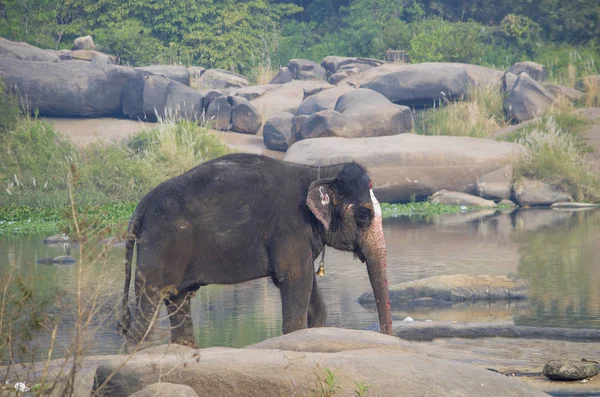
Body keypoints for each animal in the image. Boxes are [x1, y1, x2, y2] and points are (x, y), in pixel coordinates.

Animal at [119, 153, 394, 344]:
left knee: (178, 300)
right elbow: (296, 280)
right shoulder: (289, 228)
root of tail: (140, 207)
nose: (386, 335)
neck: (322, 171)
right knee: (148, 305)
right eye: (364, 215)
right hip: (160, 246)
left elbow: (312, 295)